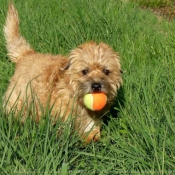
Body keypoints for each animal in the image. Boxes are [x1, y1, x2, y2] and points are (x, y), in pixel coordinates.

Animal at [3, 3, 122, 144]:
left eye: (106, 71)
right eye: (84, 71)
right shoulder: (62, 111)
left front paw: (91, 136)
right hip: (19, 96)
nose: (96, 85)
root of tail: (26, 54)